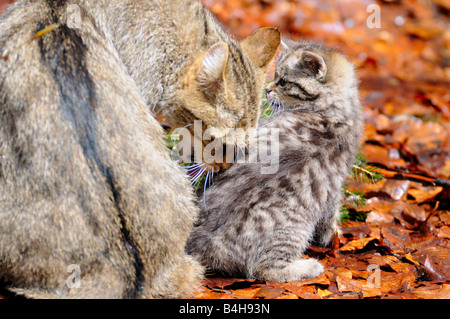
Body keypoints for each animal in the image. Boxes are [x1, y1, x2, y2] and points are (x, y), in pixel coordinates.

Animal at [185, 40, 364, 282]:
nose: (268, 89)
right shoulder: (334, 187)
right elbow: (330, 215)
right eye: (276, 76)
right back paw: (308, 267)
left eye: (283, 81)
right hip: (296, 229)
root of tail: (203, 241)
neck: (333, 113)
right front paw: (332, 235)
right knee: (266, 269)